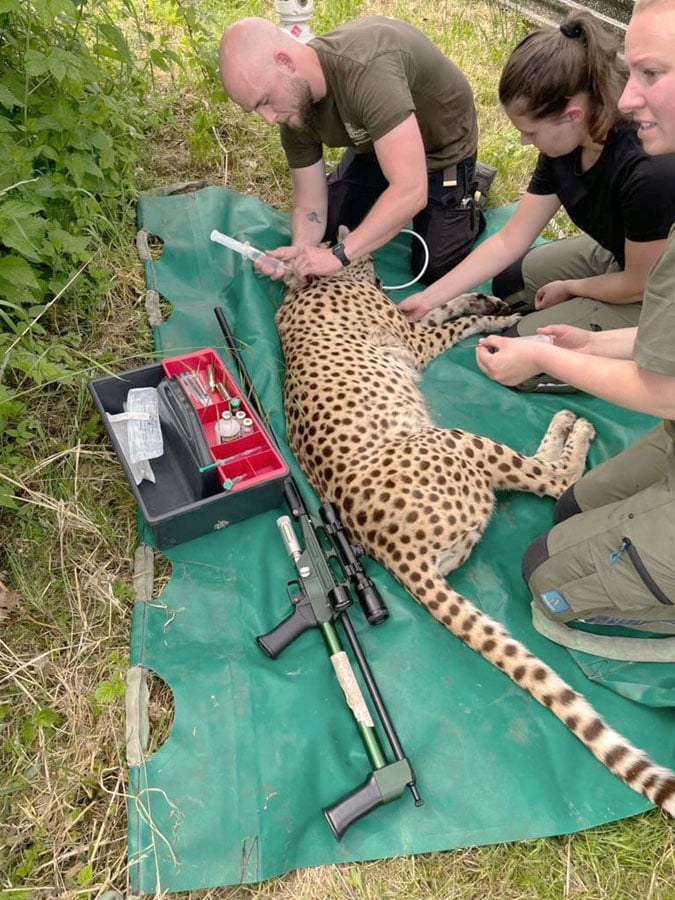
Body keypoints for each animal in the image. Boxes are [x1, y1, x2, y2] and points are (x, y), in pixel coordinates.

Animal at [276, 239, 675, 816]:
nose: (378, 272)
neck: (314, 282)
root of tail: (393, 554)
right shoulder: (413, 341)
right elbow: (454, 326)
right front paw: (496, 321)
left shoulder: (412, 324)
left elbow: (442, 303)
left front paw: (486, 300)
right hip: (457, 440)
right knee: (556, 480)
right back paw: (571, 426)